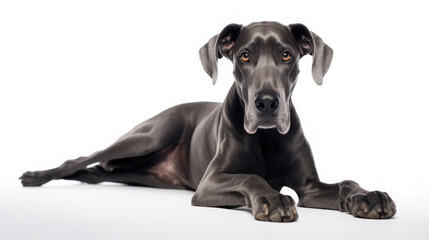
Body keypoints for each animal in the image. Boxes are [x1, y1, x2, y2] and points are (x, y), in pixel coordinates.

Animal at [20, 21, 394, 222]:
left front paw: (369, 196)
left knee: (98, 171)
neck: (266, 138)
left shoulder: (309, 186)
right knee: (81, 158)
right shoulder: (209, 183)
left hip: (141, 173)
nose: (267, 103)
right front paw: (272, 199)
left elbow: (345, 182)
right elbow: (251, 177)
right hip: (149, 136)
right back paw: (35, 176)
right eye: (245, 56)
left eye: (287, 55)